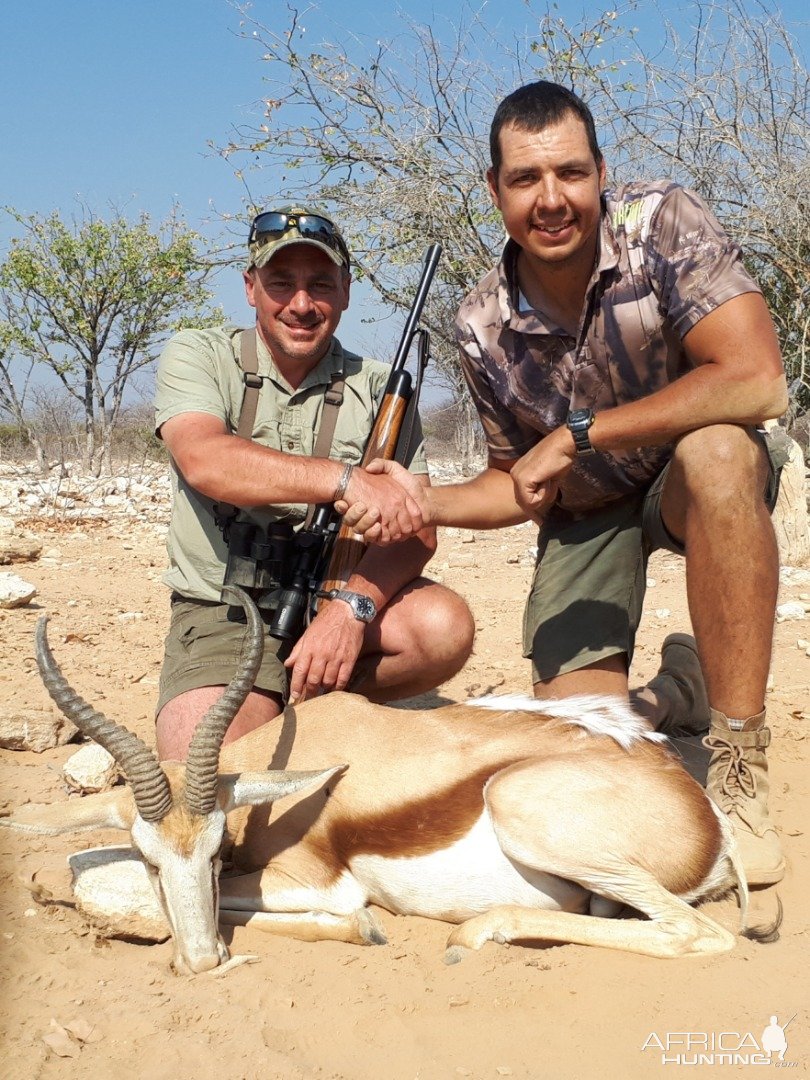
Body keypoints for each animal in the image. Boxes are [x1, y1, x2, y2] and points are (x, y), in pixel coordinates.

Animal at [3, 587, 764, 976]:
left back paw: (477, 934)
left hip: (523, 809)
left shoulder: (316, 882)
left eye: (217, 853)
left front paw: (361, 930)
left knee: (697, 934)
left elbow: (304, 911)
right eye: (151, 857)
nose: (200, 963)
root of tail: (708, 819)